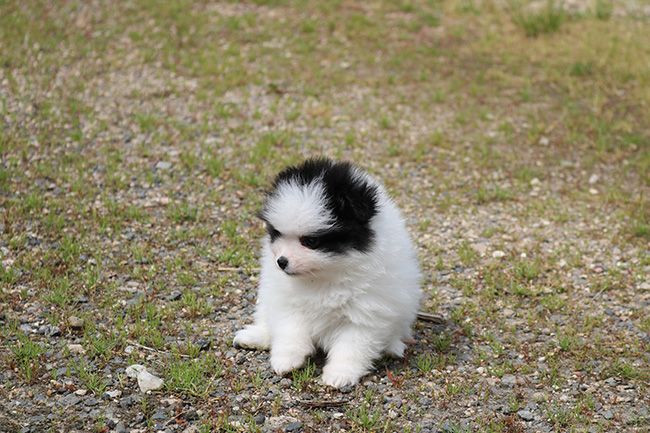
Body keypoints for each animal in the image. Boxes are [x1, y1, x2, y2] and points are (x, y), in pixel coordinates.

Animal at [233, 158, 421, 388]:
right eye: (277, 233)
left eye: (311, 241)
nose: (281, 262)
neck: (324, 275)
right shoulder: (287, 300)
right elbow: (290, 329)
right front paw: (286, 359)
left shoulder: (366, 313)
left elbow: (352, 346)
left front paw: (340, 373)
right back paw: (256, 336)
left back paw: (394, 346)